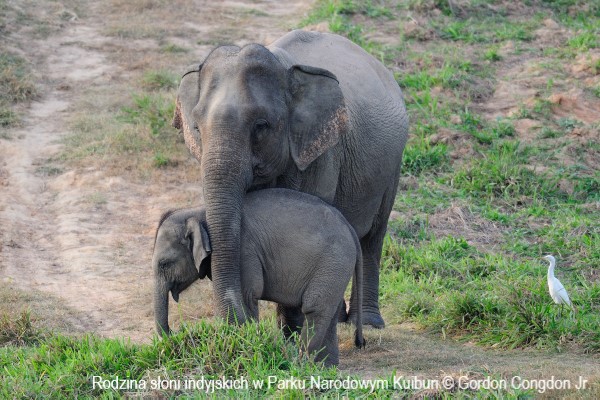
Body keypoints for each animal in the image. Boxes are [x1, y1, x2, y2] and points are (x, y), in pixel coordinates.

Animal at [152, 188, 364, 366]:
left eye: (165, 264)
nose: (178, 332)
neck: (199, 213)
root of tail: (350, 229)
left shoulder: (243, 253)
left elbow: (248, 295)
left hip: (333, 262)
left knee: (315, 308)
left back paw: (301, 363)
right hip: (336, 268)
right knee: (329, 311)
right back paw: (325, 367)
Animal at [171, 28, 410, 328]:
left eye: (261, 126)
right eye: (196, 127)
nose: (238, 324)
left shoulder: (322, 155)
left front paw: (290, 330)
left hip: (393, 166)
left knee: (372, 238)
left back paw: (366, 323)